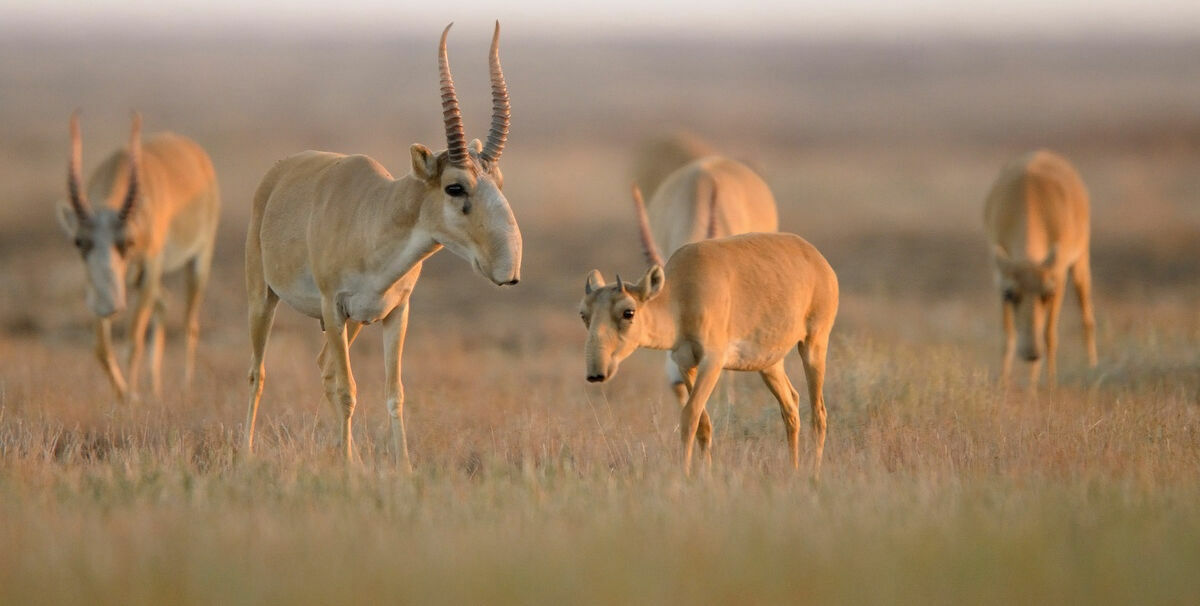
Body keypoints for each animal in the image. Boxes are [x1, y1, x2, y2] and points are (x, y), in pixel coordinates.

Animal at [56, 112, 222, 400]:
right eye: (79, 241)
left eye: (128, 241)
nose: (110, 306)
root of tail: (196, 154)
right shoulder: (95, 286)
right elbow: (101, 347)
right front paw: (124, 396)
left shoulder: (149, 270)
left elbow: (133, 341)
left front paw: (133, 398)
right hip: (135, 281)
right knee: (164, 303)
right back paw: (155, 387)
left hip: (198, 261)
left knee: (190, 324)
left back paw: (185, 387)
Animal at [242, 22, 520, 463]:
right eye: (454, 186)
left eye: (499, 182)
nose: (508, 269)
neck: (375, 215)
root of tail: (278, 173)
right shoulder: (333, 307)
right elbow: (348, 389)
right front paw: (349, 467)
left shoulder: (395, 313)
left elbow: (394, 393)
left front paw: (400, 466)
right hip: (264, 299)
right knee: (258, 372)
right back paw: (246, 452)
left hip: (352, 323)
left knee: (323, 366)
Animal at [984, 148, 1099, 381]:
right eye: (1009, 294)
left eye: (1048, 293)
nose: (1031, 353)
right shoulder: (999, 277)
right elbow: (1007, 336)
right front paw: (1003, 382)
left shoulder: (1058, 276)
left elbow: (1049, 334)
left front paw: (1049, 384)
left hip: (1081, 261)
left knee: (1087, 316)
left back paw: (1092, 367)